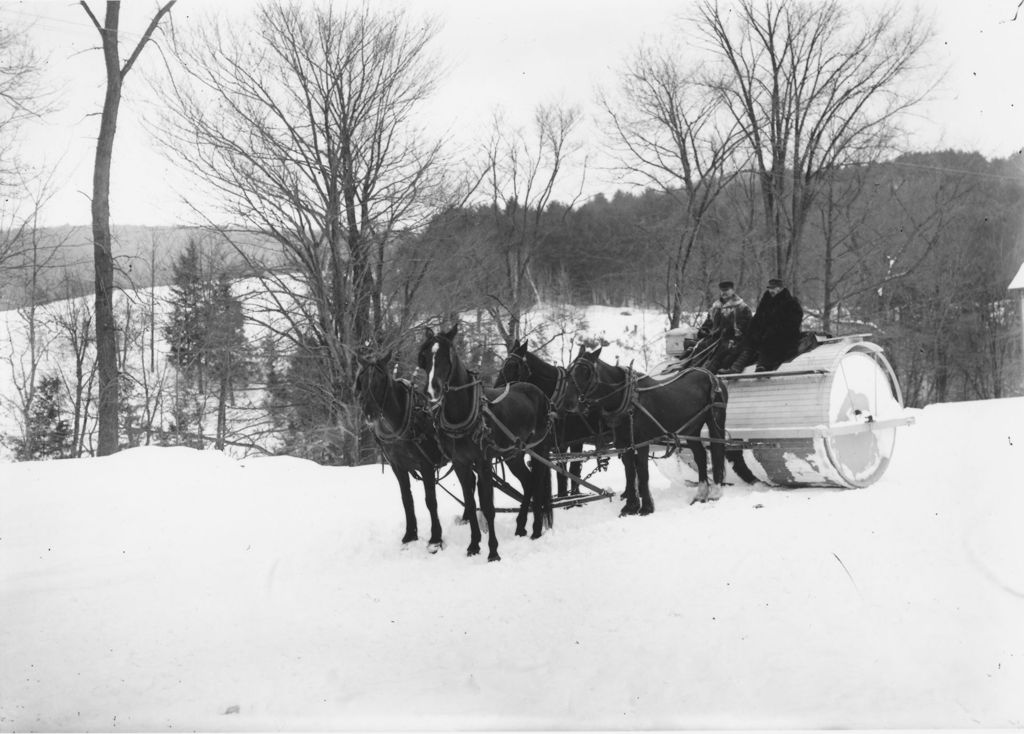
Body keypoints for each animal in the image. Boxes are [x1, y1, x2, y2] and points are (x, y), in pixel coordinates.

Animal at [350, 350, 466, 548]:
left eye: (382, 380)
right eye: (362, 380)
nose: (369, 412)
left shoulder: (426, 465)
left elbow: (430, 501)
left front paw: (435, 539)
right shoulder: (398, 467)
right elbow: (407, 499)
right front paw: (410, 535)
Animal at [415, 321, 552, 560]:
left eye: (447, 355)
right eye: (424, 357)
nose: (432, 390)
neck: (461, 412)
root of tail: (538, 392)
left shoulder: (483, 461)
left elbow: (487, 506)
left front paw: (493, 552)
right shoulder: (460, 463)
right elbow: (471, 504)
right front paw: (473, 546)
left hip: (539, 449)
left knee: (537, 483)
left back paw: (535, 530)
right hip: (513, 455)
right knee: (528, 482)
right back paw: (521, 526)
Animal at [565, 346, 733, 511]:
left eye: (586, 371)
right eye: (570, 370)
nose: (569, 402)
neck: (628, 400)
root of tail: (714, 377)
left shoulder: (642, 442)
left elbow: (642, 472)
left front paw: (646, 507)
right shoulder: (623, 444)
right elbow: (630, 472)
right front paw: (630, 507)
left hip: (715, 419)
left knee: (717, 450)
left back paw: (715, 492)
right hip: (691, 428)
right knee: (700, 455)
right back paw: (700, 495)